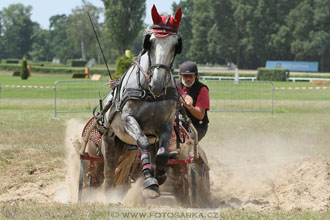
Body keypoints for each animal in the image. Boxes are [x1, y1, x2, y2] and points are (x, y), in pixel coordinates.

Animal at [101, 4, 182, 198]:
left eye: (176, 45)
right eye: (149, 42)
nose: (158, 84)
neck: (151, 93)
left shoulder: (166, 124)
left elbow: (162, 154)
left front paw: (159, 176)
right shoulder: (129, 120)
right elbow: (143, 142)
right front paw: (150, 183)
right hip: (110, 140)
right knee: (109, 172)